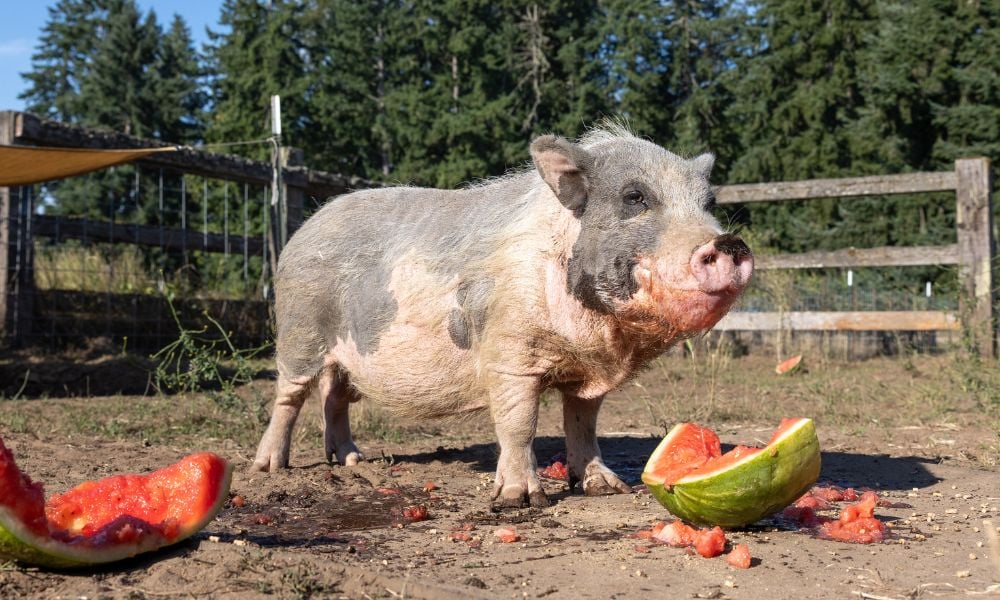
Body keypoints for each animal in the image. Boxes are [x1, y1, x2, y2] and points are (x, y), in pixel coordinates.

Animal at [251, 123, 753, 509]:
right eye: (634, 197)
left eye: (709, 203)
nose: (729, 242)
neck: (598, 338)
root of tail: (305, 229)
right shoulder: (510, 352)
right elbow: (519, 423)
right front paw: (520, 501)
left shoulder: (587, 375)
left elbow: (584, 425)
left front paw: (606, 489)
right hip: (299, 329)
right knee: (289, 396)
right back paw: (270, 467)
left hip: (347, 357)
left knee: (334, 397)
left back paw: (351, 460)